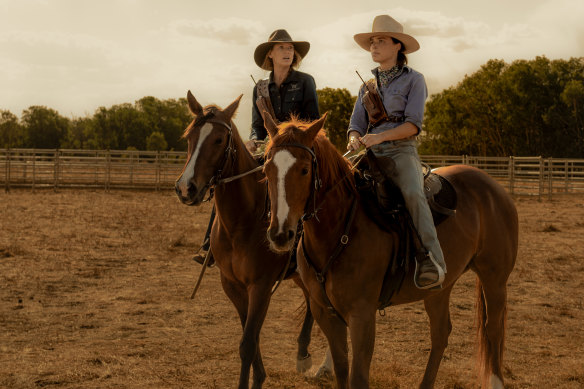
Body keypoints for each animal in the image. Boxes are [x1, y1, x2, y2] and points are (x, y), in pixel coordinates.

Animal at [173, 91, 318, 388]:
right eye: (189, 136)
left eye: (219, 140)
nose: (185, 188)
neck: (242, 222)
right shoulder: (232, 285)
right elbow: (248, 334)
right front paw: (259, 376)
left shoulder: (260, 287)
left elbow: (248, 343)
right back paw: (302, 353)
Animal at [262, 113, 516, 388]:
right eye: (266, 169)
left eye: (304, 169)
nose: (280, 234)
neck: (341, 227)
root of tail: (493, 186)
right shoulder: (325, 313)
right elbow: (341, 370)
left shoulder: (362, 315)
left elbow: (358, 377)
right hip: (440, 288)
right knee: (440, 333)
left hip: (494, 279)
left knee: (493, 329)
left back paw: (495, 381)